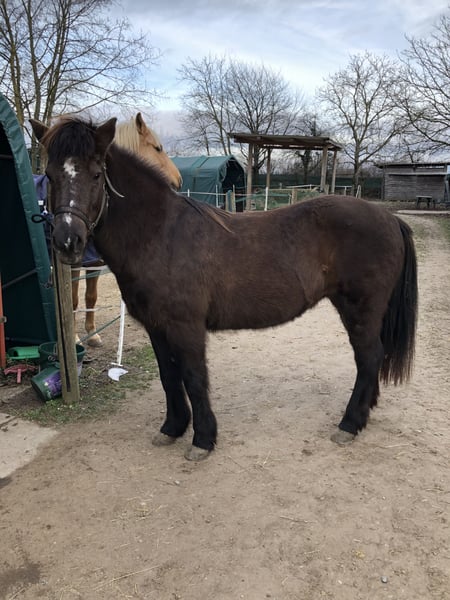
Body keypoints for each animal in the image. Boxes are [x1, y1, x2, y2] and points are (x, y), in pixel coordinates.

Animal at [70, 113, 182, 347]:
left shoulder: (93, 261)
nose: (178, 180)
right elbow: (74, 300)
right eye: (158, 148)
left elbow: (90, 297)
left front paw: (92, 334)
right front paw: (75, 338)